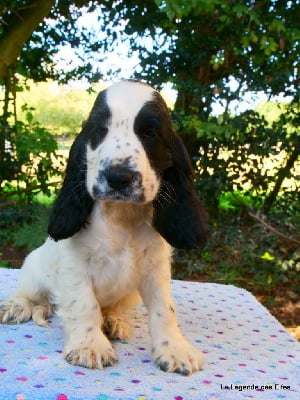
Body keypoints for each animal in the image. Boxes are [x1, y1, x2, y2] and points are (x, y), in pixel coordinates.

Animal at [0, 80, 206, 376]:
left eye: (150, 133)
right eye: (99, 130)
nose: (118, 177)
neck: (121, 215)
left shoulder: (155, 268)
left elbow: (164, 310)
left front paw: (174, 348)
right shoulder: (75, 263)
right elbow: (84, 303)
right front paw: (89, 346)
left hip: (130, 295)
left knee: (109, 308)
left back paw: (112, 321)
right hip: (33, 270)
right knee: (33, 296)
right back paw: (17, 306)